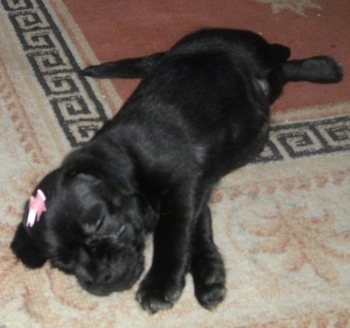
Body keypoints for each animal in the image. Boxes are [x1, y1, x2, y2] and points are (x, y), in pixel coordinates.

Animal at [10, 28, 342, 312]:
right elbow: (197, 230)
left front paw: (160, 284)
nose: (101, 280)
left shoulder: (182, 186)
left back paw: (323, 67)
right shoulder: (197, 187)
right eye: (63, 263)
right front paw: (209, 277)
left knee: (283, 60)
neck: (128, 159)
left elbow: (172, 235)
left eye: (100, 224)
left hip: (254, 52)